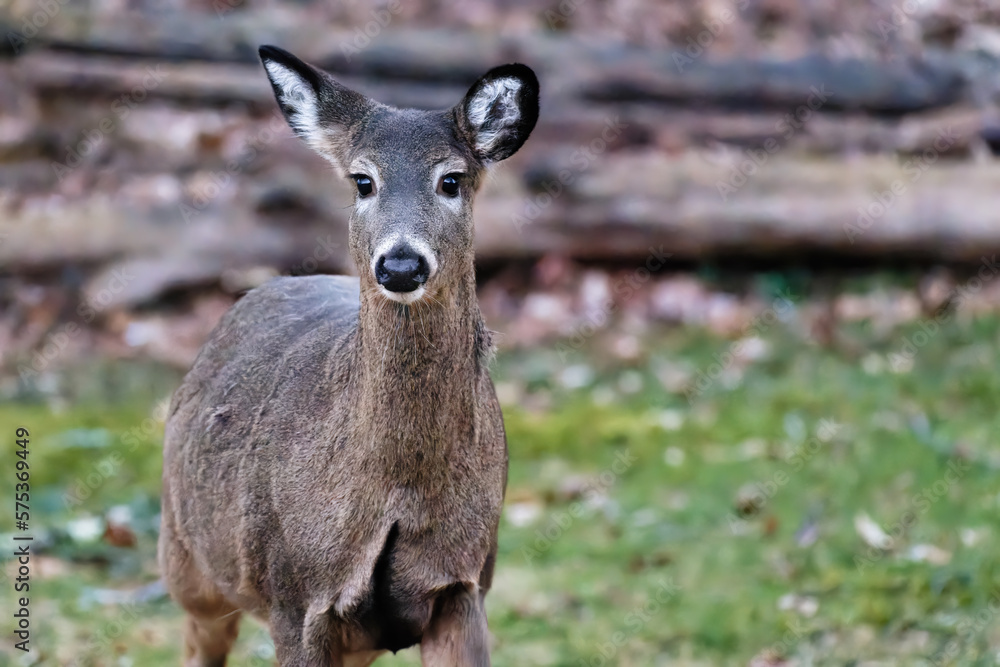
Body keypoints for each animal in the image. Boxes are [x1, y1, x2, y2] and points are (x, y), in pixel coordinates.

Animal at [157, 45, 538, 667]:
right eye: (363, 181)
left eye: (451, 180)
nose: (401, 264)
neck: (397, 490)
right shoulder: (294, 596)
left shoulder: (467, 581)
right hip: (185, 558)